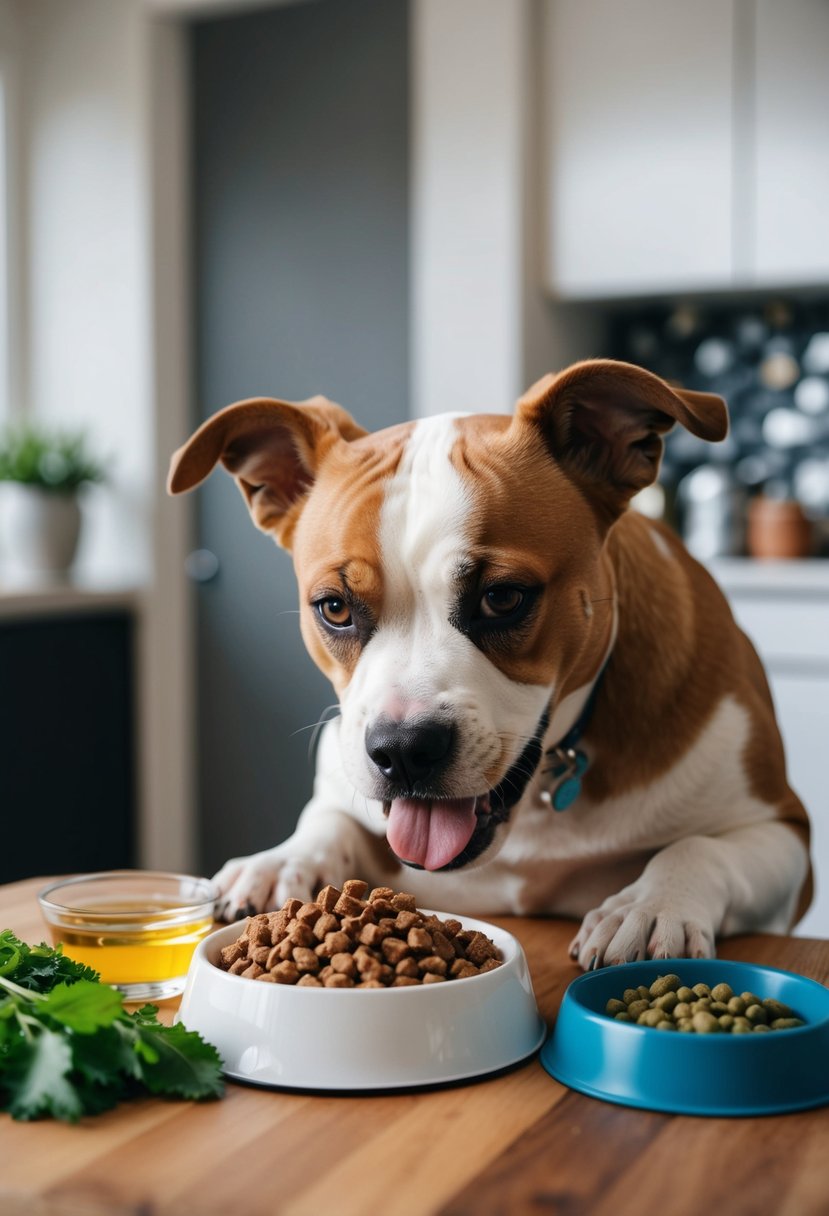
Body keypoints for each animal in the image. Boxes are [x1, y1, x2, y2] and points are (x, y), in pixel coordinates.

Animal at [166, 359, 807, 967]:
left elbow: (701, 847)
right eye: (335, 608)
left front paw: (652, 905)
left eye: (502, 597)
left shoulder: (788, 833)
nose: (403, 750)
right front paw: (280, 862)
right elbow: (328, 819)